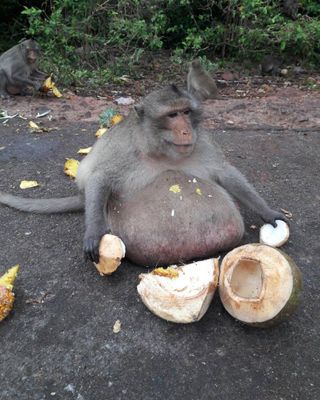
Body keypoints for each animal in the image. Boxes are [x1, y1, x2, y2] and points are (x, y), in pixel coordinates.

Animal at [0, 85, 286, 266]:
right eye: (172, 115)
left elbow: (225, 173)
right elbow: (101, 178)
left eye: (186, 112)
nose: (186, 131)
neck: (161, 151)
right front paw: (93, 232)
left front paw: (267, 212)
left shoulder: (202, 142)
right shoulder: (125, 150)